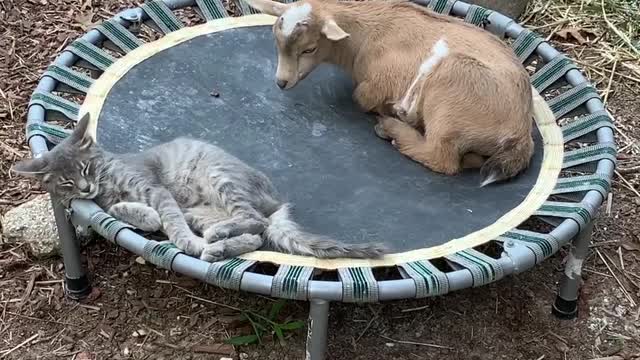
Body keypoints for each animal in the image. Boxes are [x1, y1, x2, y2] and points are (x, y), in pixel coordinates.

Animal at [13, 114, 384, 262]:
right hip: (200, 212)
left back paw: (213, 242)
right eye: (67, 182)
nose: (85, 187)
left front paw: (179, 239)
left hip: (220, 178)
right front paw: (145, 217)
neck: (106, 181)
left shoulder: (154, 188)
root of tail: (275, 200)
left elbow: (171, 223)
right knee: (256, 236)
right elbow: (120, 209)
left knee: (255, 222)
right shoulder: (110, 202)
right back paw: (217, 247)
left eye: (86, 168)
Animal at [246, 0, 536, 186]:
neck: (360, 38)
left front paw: (388, 110)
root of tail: (521, 134)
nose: (281, 82)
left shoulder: (380, 80)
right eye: (275, 41)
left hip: (452, 90)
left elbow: (361, 97)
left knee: (442, 158)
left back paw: (392, 128)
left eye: (309, 49)